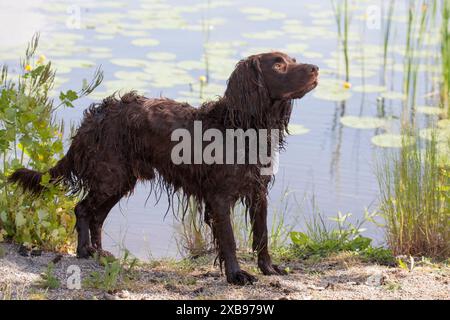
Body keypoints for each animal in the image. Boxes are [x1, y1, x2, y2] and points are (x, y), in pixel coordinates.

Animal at [9, 52, 316, 284]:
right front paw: (236, 275)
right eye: (278, 64)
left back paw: (100, 251)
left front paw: (268, 268)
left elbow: (262, 235)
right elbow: (229, 240)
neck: (242, 128)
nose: (316, 68)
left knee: (96, 216)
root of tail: (93, 117)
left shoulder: (258, 193)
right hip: (111, 177)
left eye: (292, 59)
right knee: (83, 209)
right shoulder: (219, 198)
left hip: (120, 181)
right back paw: (85, 251)